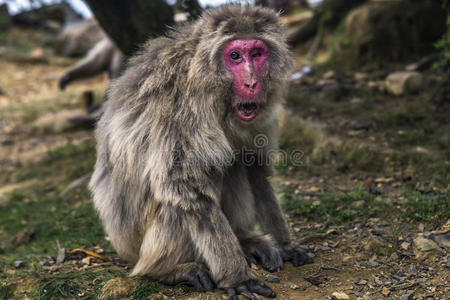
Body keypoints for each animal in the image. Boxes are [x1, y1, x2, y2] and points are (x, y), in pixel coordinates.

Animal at [88, 5, 312, 298]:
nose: (252, 83)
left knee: (233, 162)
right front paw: (237, 277)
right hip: (135, 246)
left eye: (256, 54)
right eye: (235, 56)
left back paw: (245, 239)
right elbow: (184, 185)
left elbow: (255, 169)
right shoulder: (178, 105)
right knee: (187, 188)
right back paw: (165, 270)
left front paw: (285, 245)